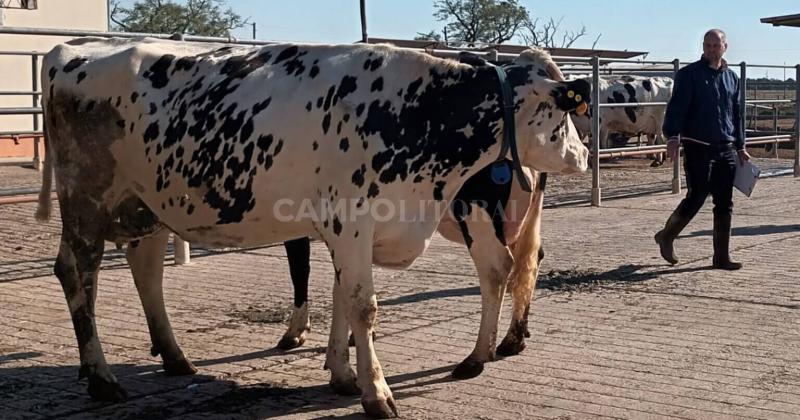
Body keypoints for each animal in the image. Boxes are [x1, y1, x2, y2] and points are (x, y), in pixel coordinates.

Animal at [37, 37, 588, 418]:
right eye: (564, 113)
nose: (584, 154)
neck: (412, 111)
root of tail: (72, 50)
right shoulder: (350, 219)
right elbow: (362, 306)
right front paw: (376, 392)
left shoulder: (350, 229)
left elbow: (342, 297)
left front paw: (343, 375)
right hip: (86, 199)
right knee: (77, 273)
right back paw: (101, 376)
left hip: (145, 204)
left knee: (145, 270)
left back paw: (174, 358)